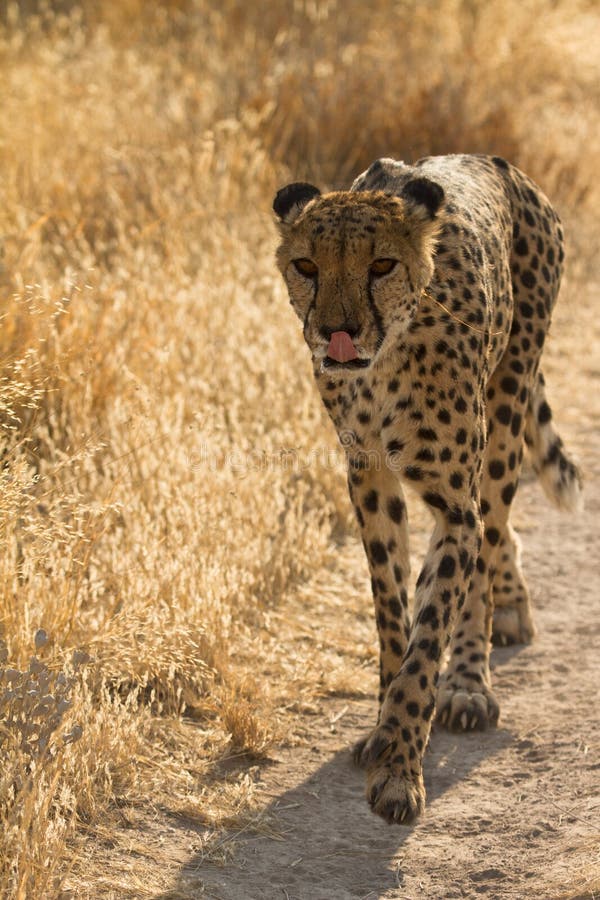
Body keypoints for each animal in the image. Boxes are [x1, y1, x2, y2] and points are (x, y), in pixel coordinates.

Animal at [274, 153, 584, 824]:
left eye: (381, 265)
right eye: (307, 266)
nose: (337, 332)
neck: (383, 365)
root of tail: (500, 164)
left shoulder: (453, 502)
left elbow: (430, 629)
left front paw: (398, 765)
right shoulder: (368, 479)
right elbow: (393, 612)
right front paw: (384, 728)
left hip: (506, 407)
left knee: (491, 533)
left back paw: (469, 680)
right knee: (490, 544)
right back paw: (510, 609)